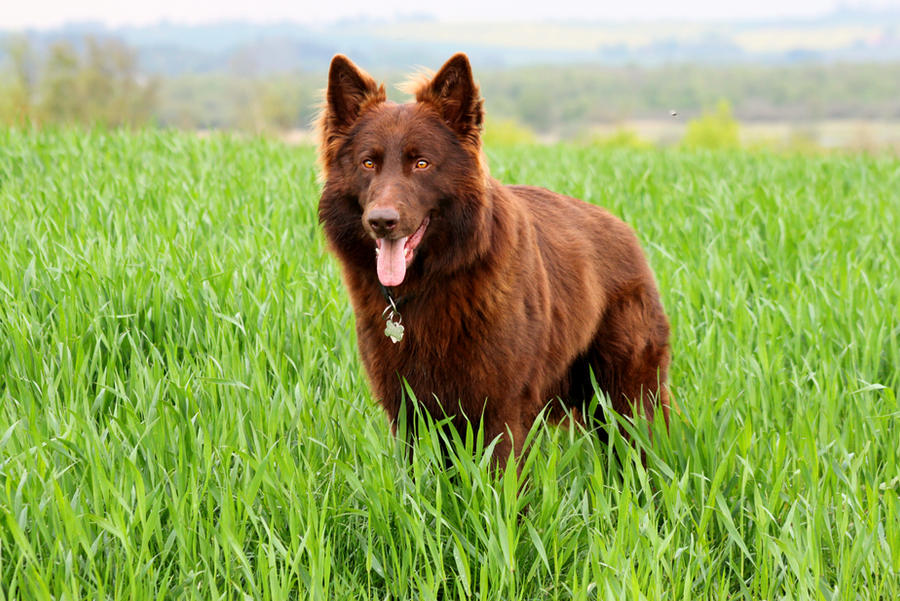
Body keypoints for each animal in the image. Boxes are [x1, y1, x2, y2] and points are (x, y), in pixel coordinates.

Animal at [316, 54, 668, 462]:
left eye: (422, 164)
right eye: (368, 163)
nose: (381, 221)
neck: (434, 281)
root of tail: (625, 230)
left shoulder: (500, 412)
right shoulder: (409, 413)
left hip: (626, 399)